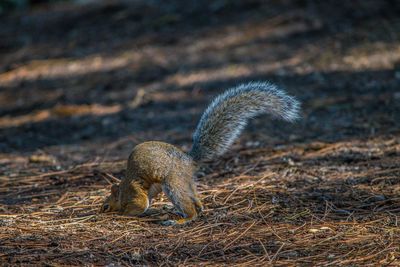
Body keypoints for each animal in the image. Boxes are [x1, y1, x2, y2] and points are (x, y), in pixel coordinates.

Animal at [100, 81, 300, 226]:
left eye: (105, 206)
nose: (100, 212)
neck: (123, 190)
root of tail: (189, 160)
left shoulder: (134, 192)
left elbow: (140, 205)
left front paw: (123, 213)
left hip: (173, 183)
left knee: (190, 209)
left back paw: (180, 220)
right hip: (185, 182)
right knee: (195, 200)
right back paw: (197, 208)